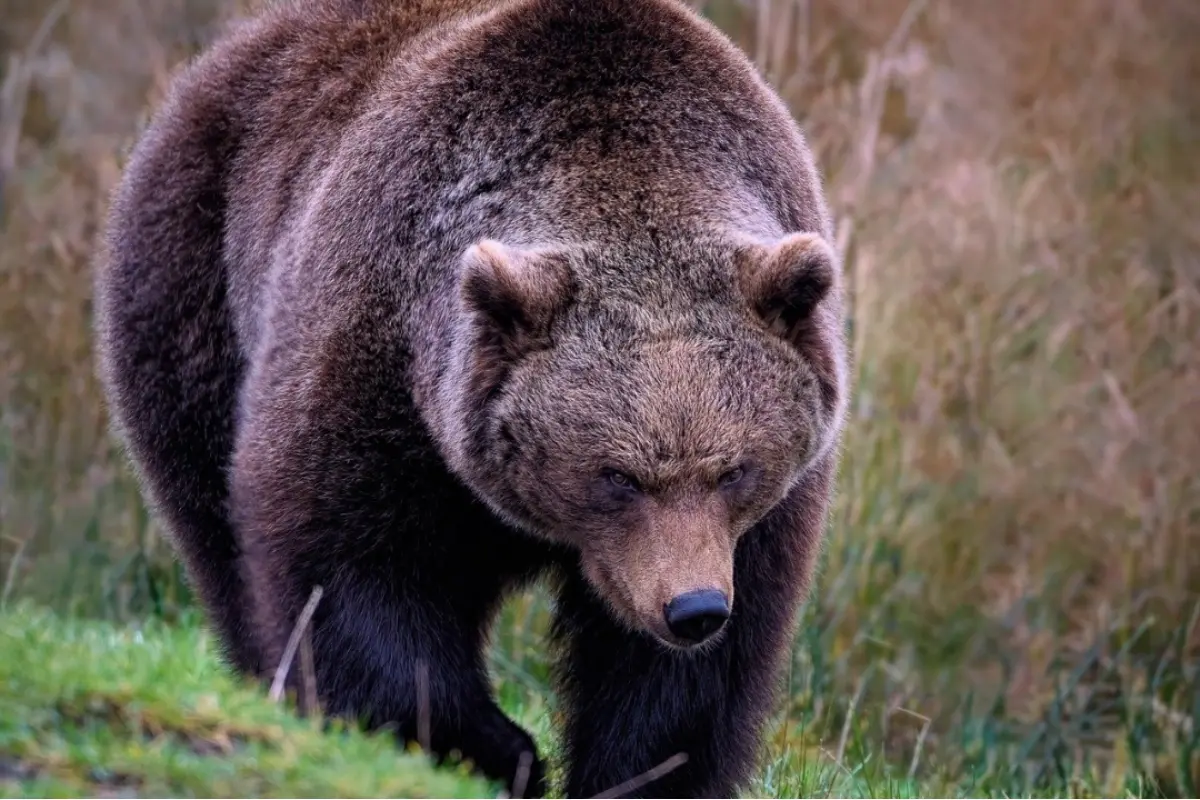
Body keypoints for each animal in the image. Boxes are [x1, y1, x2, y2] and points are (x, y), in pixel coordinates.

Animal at [93, 1, 849, 796]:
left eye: (733, 469)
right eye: (617, 476)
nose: (692, 608)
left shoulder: (756, 523)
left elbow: (686, 678)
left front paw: (640, 770)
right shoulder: (382, 367)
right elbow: (348, 566)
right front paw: (495, 748)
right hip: (193, 287)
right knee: (216, 530)